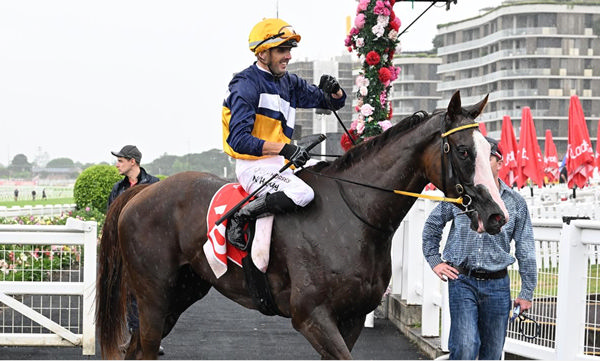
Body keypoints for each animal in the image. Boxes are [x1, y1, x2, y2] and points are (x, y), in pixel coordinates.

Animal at [97, 90, 506, 358]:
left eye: (492, 150)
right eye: (464, 151)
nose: (497, 215)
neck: (354, 216)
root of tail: (142, 192)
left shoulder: (351, 318)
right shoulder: (312, 316)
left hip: (183, 291)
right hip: (153, 295)